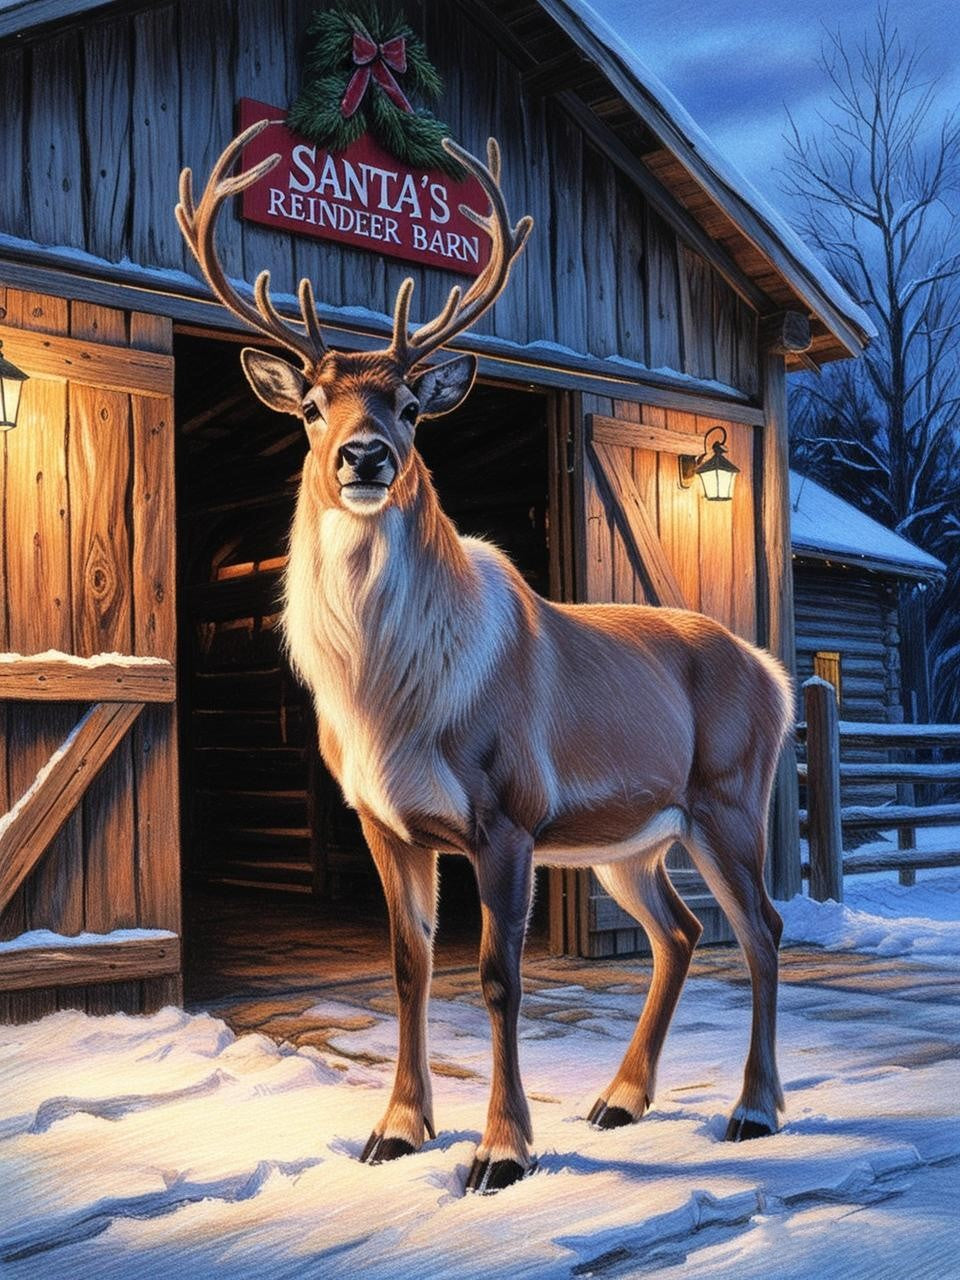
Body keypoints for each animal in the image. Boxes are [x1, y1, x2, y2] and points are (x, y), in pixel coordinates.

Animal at [177, 119, 793, 1195]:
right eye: (311, 408)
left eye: (411, 407)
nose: (365, 456)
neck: (390, 699)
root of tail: (777, 674)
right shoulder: (385, 821)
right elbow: (409, 968)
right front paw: (397, 1129)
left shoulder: (507, 810)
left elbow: (500, 977)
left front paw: (501, 1150)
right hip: (631, 837)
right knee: (679, 931)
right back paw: (621, 1099)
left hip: (727, 792)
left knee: (759, 928)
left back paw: (753, 1108)